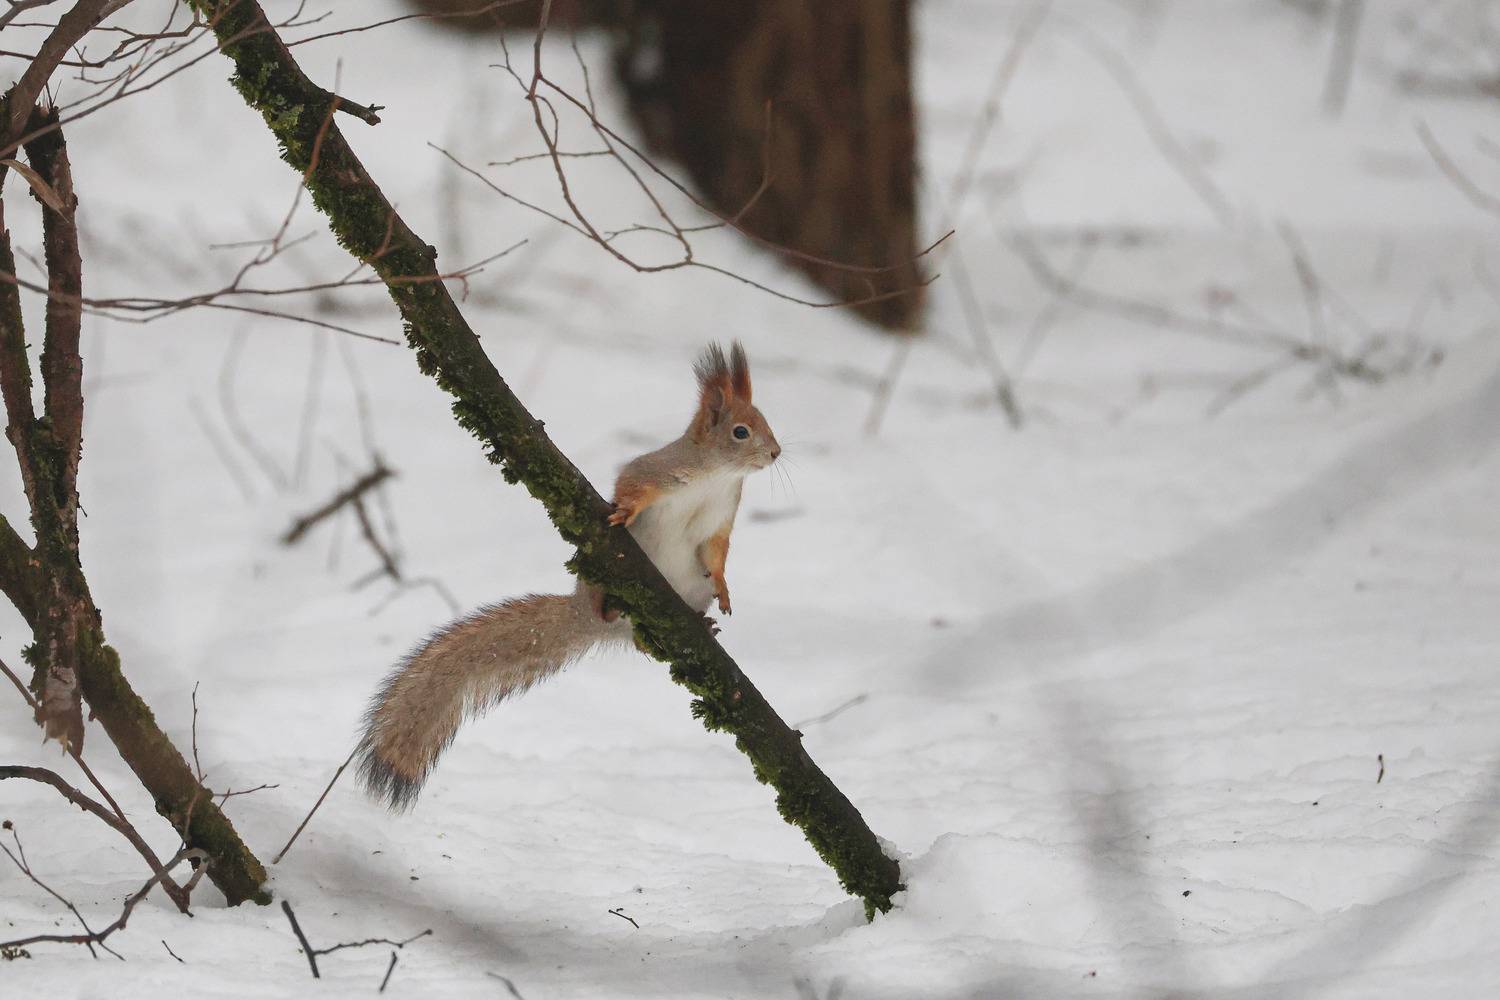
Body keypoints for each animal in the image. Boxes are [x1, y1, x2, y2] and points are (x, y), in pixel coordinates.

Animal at [356, 341, 781, 811]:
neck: (716, 479)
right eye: (741, 431)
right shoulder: (654, 471)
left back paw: (702, 622)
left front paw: (723, 590)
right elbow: (632, 487)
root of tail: (583, 615)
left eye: (765, 422)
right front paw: (625, 512)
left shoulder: (719, 522)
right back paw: (610, 606)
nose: (776, 452)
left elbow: (716, 556)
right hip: (599, 578)